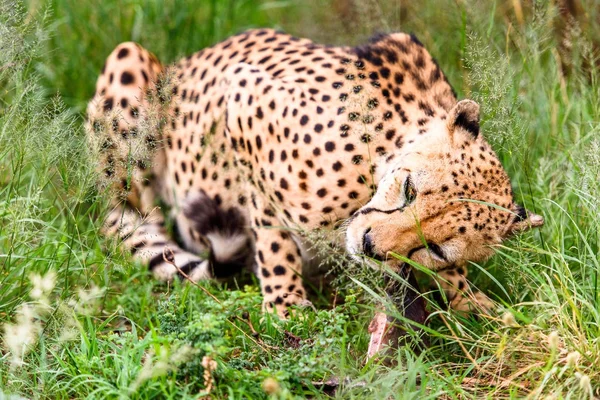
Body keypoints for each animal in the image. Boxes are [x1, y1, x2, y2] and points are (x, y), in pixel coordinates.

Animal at [88, 29, 544, 318]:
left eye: (434, 248)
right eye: (410, 188)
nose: (369, 245)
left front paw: (479, 308)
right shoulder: (241, 98)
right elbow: (272, 233)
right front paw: (285, 305)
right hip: (131, 70)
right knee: (124, 210)